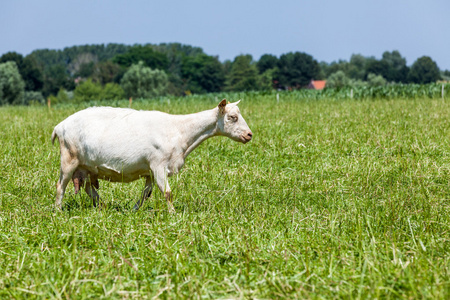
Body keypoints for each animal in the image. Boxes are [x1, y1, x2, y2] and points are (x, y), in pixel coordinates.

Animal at [51, 99, 253, 212]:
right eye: (232, 117)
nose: (249, 135)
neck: (179, 130)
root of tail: (59, 126)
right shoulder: (158, 165)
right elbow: (168, 193)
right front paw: (173, 214)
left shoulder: (150, 170)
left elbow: (146, 193)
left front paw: (134, 210)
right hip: (69, 160)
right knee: (61, 186)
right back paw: (58, 211)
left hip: (85, 167)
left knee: (88, 189)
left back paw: (103, 207)